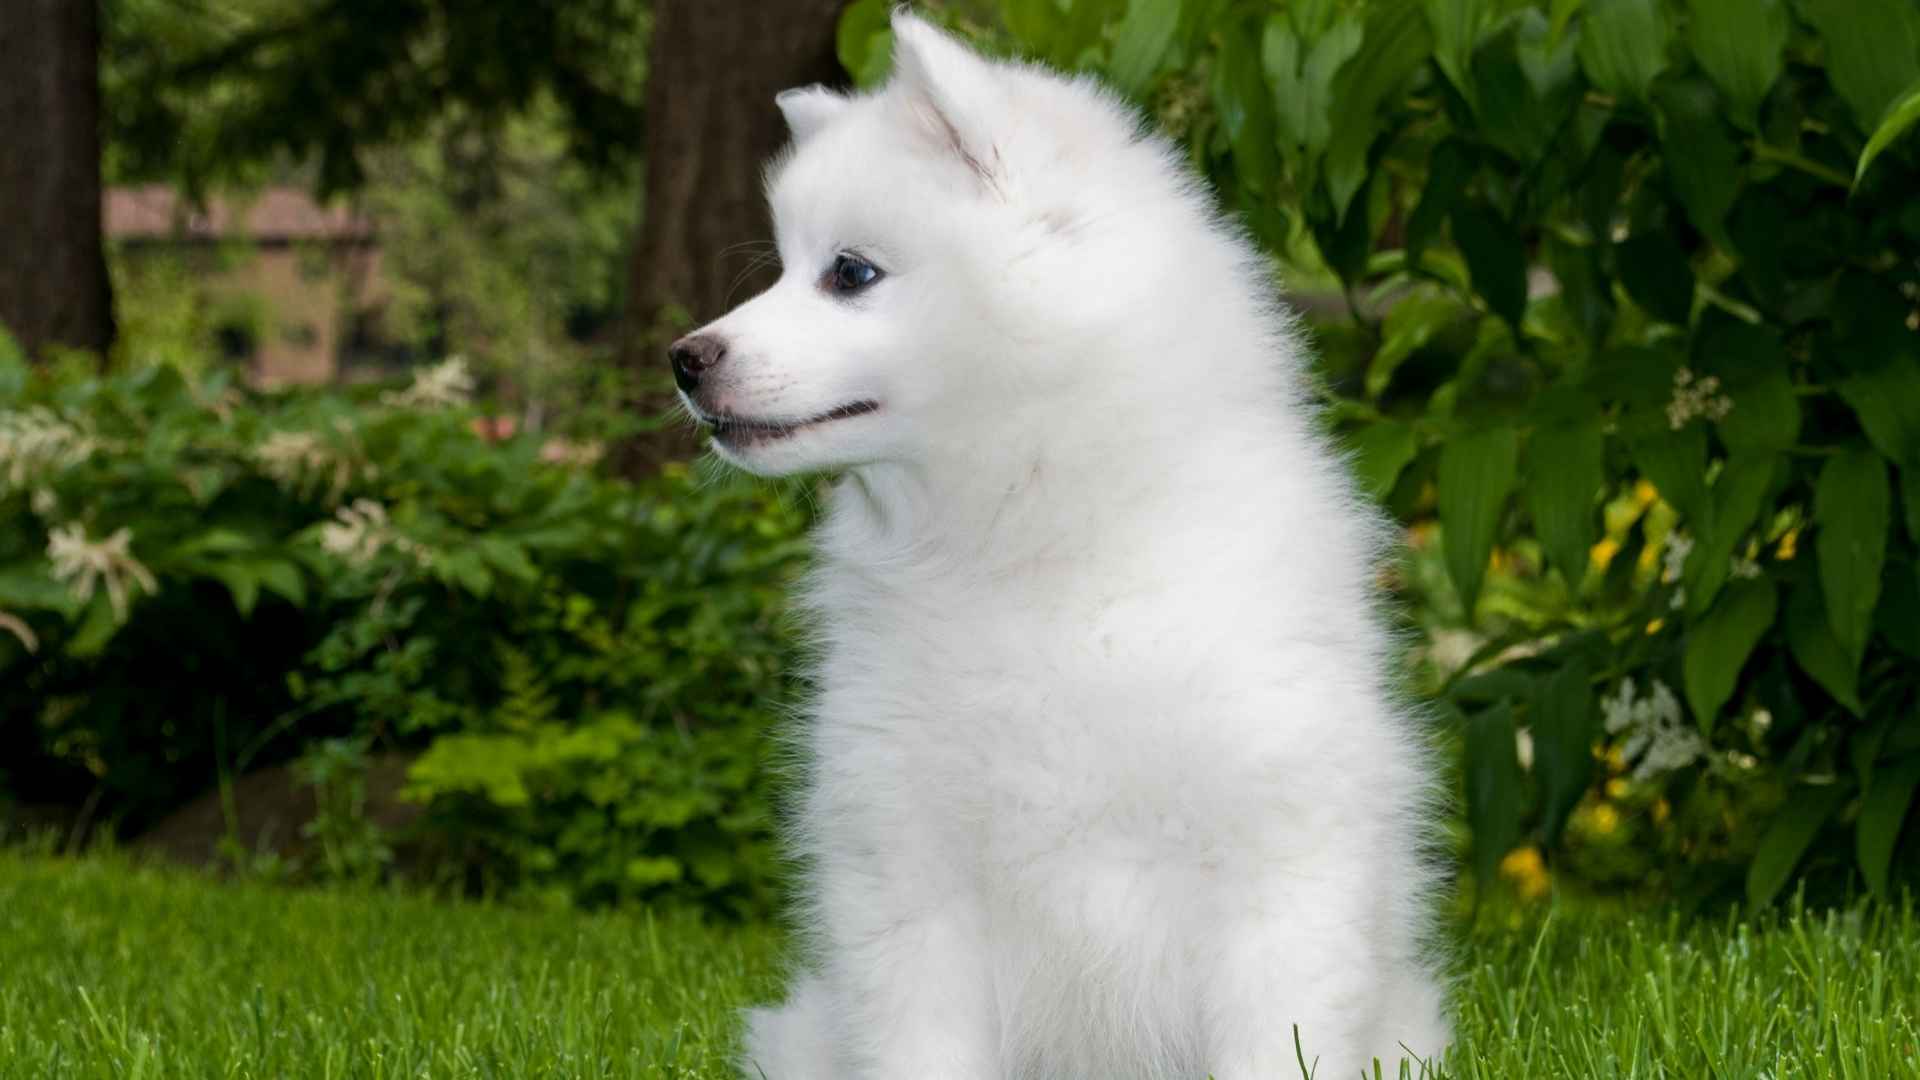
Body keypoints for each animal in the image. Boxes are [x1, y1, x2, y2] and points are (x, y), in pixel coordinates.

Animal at [668, 10, 1443, 1076]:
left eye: (850, 273)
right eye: (784, 269)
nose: (684, 359)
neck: (1033, 552)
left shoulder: (1281, 865)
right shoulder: (909, 871)